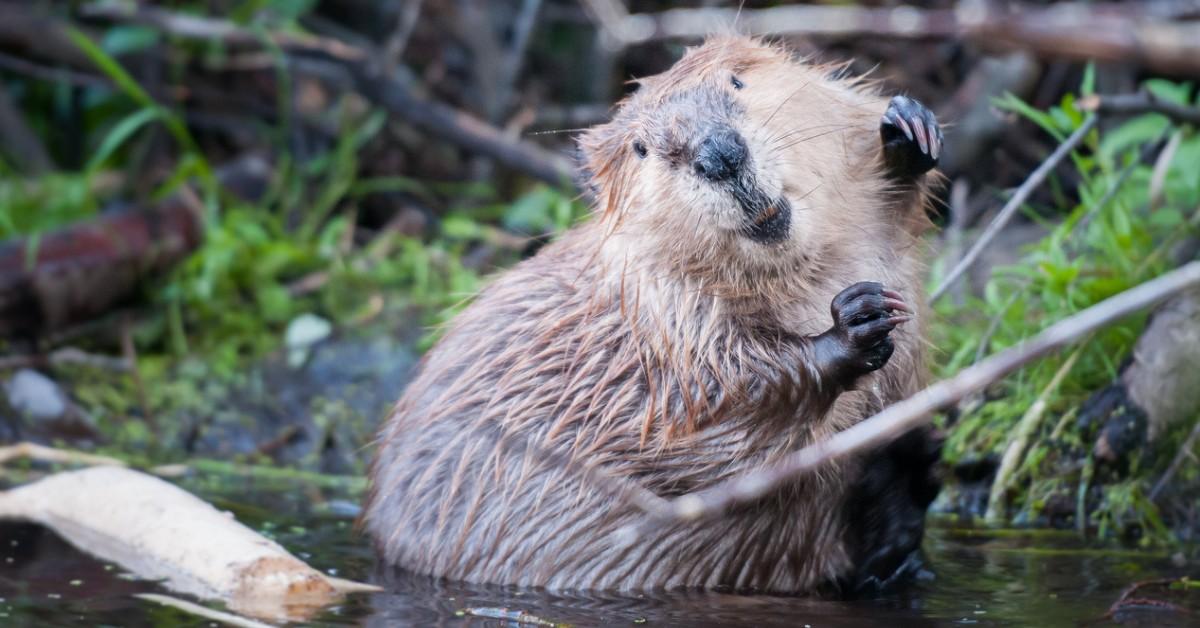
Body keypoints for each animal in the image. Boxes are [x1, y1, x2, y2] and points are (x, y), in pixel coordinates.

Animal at [360, 36, 940, 597]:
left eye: (737, 80)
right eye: (641, 148)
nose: (719, 154)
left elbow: (892, 212)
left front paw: (907, 131)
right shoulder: (661, 324)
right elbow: (713, 429)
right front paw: (855, 322)